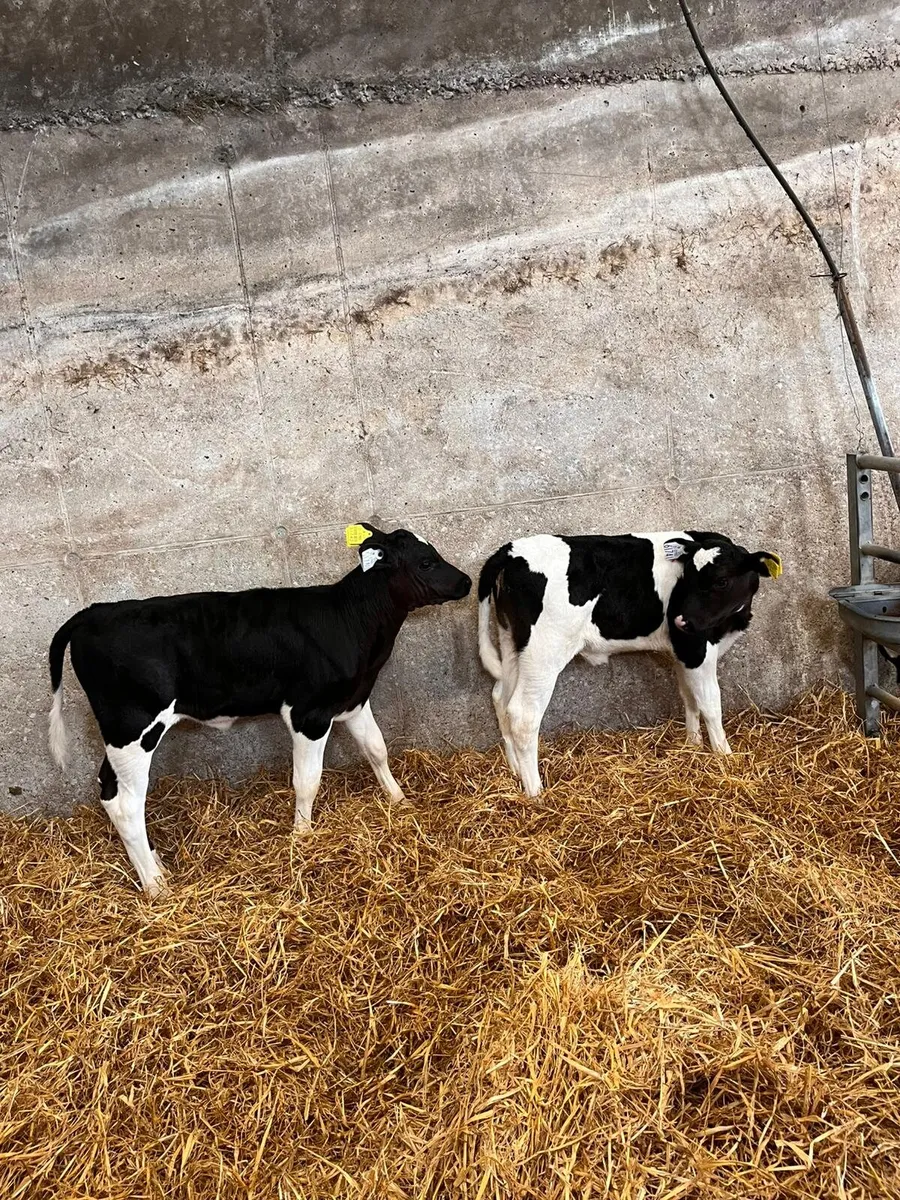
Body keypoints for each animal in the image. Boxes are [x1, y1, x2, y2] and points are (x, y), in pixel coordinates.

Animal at [48, 524, 471, 895]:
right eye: (426, 562)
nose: (466, 581)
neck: (350, 621)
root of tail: (94, 612)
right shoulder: (308, 714)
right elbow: (308, 779)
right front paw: (303, 836)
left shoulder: (352, 700)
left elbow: (377, 749)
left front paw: (400, 801)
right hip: (134, 727)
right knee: (127, 805)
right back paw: (156, 886)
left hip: (121, 734)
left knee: (108, 789)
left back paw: (156, 866)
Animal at [477, 530, 781, 796]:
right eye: (688, 578)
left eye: (721, 581)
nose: (680, 620)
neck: (729, 626)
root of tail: (510, 550)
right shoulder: (694, 648)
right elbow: (710, 703)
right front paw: (724, 757)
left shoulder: (681, 653)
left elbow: (689, 697)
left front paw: (692, 745)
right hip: (544, 650)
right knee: (523, 714)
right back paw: (535, 791)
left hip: (513, 642)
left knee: (501, 698)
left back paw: (515, 771)